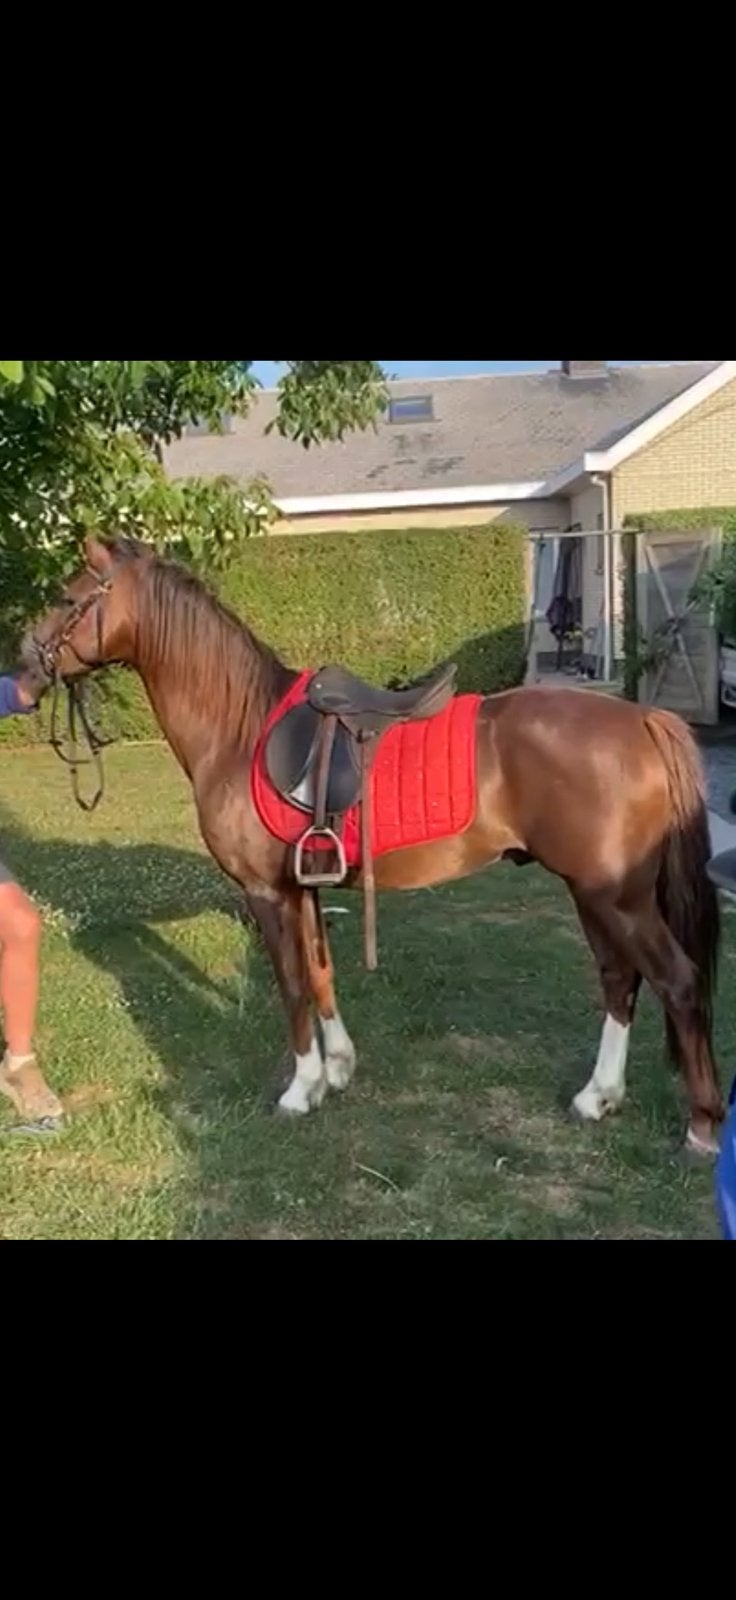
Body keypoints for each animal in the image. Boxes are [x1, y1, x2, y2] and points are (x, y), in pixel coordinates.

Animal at [22, 533, 725, 1157]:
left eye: (66, 598)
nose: (22, 669)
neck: (239, 730)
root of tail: (642, 719)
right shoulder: (301, 889)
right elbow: (321, 974)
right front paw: (336, 1070)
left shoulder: (265, 894)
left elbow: (291, 985)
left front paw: (299, 1090)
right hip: (594, 892)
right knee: (620, 979)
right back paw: (597, 1097)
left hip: (615, 896)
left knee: (677, 981)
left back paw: (701, 1127)